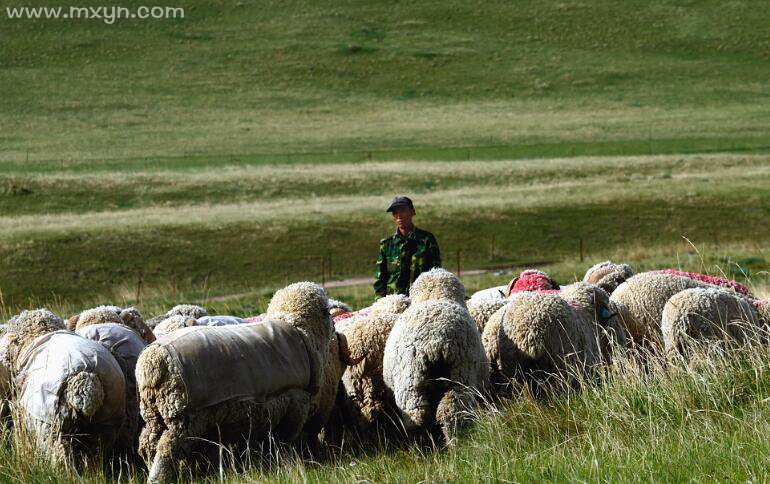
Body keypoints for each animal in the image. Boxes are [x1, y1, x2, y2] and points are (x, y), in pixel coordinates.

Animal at [136, 282, 332, 482]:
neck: (299, 330)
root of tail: (152, 361)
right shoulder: (295, 404)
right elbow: (282, 440)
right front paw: (284, 461)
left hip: (154, 412)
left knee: (148, 443)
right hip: (183, 417)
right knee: (167, 447)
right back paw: (158, 477)